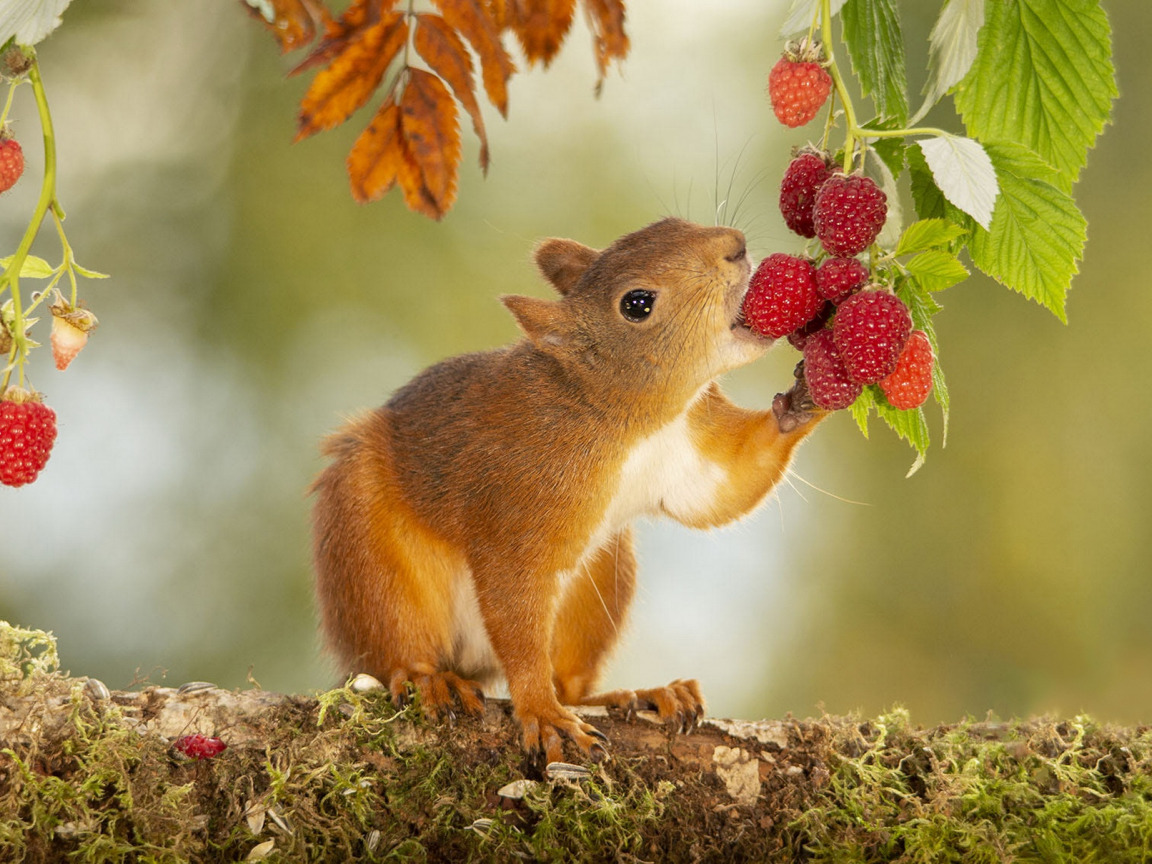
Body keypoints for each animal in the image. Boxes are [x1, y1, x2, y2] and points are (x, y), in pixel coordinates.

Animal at [311, 217, 824, 764]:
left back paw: (645, 693)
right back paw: (429, 679)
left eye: (669, 223)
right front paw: (540, 711)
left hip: (601, 577)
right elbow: (515, 603)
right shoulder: (518, 502)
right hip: (368, 552)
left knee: (572, 682)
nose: (736, 246)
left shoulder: (690, 448)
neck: (631, 419)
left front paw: (808, 395)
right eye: (637, 304)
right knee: (393, 645)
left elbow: (725, 488)